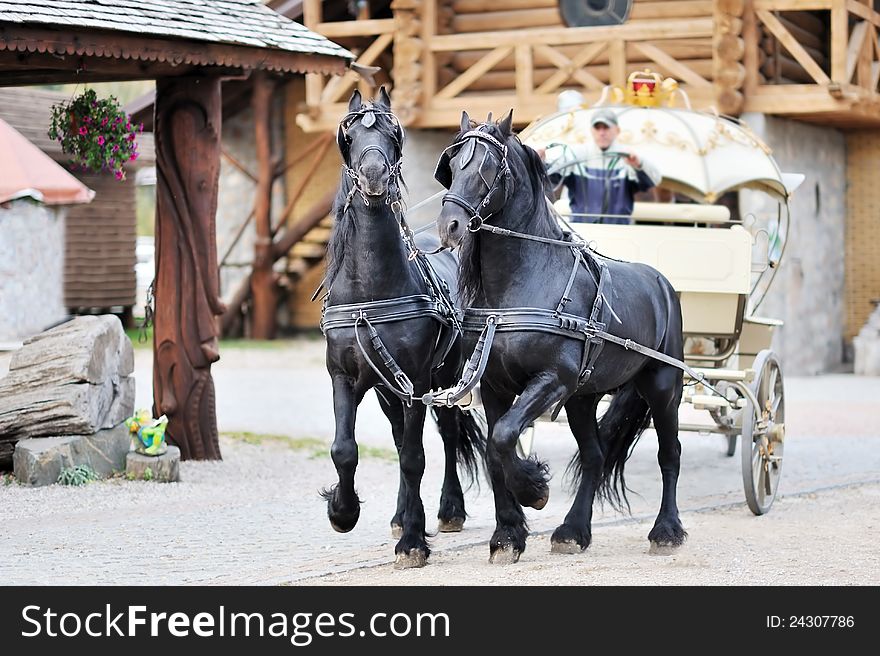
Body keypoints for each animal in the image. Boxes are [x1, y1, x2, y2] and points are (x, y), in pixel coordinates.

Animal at [320, 88, 484, 568]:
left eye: (393, 136)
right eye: (350, 135)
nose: (373, 174)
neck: (371, 294)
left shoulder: (415, 381)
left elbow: (415, 458)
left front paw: (412, 541)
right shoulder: (345, 377)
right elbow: (344, 449)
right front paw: (343, 510)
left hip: (445, 379)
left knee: (446, 436)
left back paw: (447, 510)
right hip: (387, 390)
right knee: (398, 438)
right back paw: (400, 514)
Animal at [434, 113, 688, 564]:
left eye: (487, 168)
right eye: (453, 164)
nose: (450, 226)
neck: (520, 285)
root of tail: (661, 282)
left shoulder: (553, 379)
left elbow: (504, 437)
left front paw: (534, 489)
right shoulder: (495, 387)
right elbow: (496, 450)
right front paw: (507, 535)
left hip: (662, 386)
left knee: (669, 453)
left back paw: (666, 530)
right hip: (583, 398)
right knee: (594, 457)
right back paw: (572, 531)